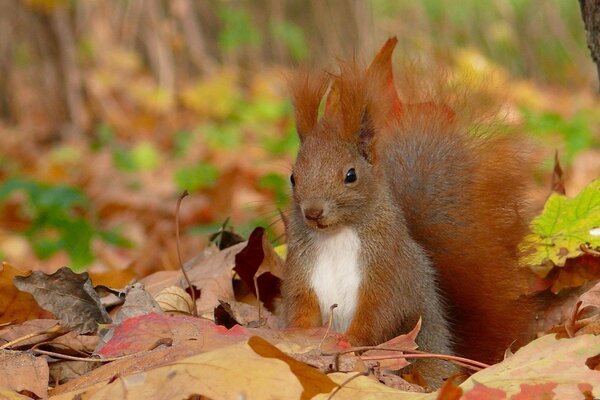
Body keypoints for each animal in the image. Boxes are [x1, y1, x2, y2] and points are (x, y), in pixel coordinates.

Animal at [282, 38, 540, 388]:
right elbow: (301, 308)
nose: (313, 212)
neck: (336, 234)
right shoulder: (302, 271)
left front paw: (348, 344)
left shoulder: (388, 271)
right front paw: (296, 338)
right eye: (293, 177)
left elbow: (378, 314)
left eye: (350, 175)